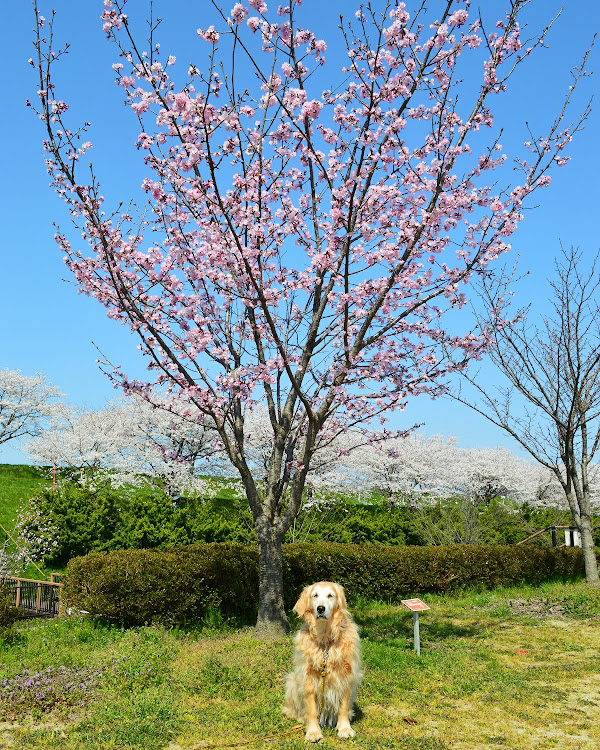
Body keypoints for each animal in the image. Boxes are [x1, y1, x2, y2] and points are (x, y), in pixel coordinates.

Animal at [282, 584, 360, 744]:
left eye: (330, 595)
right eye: (315, 595)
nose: (321, 609)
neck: (325, 640)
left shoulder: (347, 676)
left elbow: (343, 708)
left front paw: (345, 728)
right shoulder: (308, 678)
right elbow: (311, 710)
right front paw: (313, 732)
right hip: (292, 680)